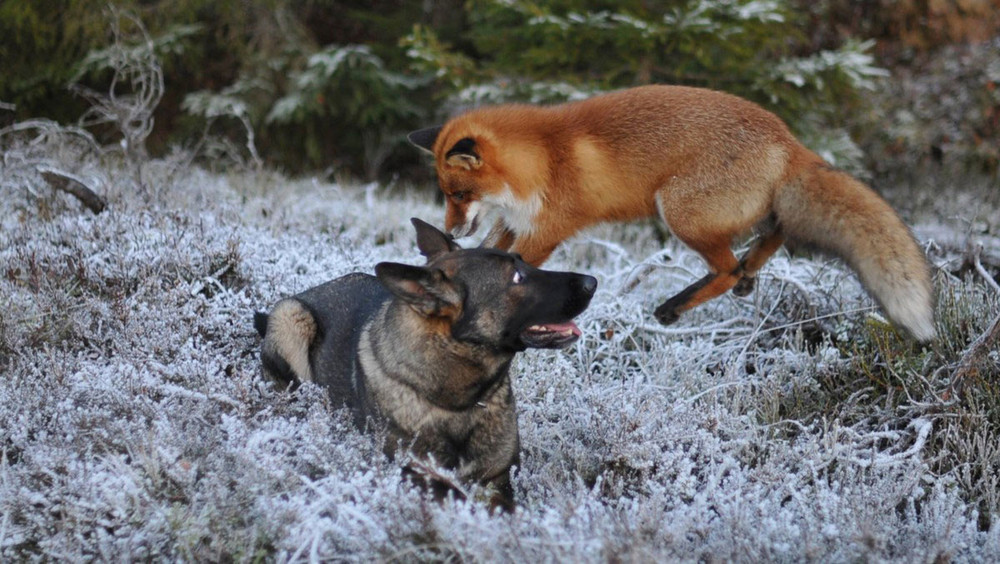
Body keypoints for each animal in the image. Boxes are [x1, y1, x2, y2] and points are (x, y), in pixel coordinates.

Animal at [407, 84, 936, 342]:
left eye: (458, 192)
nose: (452, 228)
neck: (543, 161)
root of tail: (789, 141)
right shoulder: (511, 223)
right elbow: (490, 251)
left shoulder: (547, 230)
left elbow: (518, 268)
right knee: (774, 234)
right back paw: (748, 275)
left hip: (680, 213)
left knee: (728, 266)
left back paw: (676, 305)